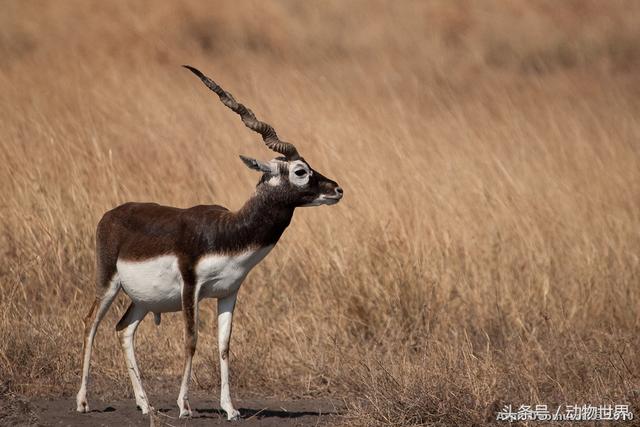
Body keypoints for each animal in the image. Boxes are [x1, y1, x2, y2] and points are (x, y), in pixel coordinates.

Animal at [77, 67, 342, 422]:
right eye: (300, 171)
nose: (337, 189)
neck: (228, 233)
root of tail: (111, 213)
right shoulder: (191, 288)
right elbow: (191, 340)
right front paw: (185, 406)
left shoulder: (229, 292)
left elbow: (224, 346)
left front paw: (230, 409)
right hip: (108, 282)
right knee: (90, 324)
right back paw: (83, 401)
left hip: (144, 298)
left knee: (124, 329)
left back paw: (145, 404)